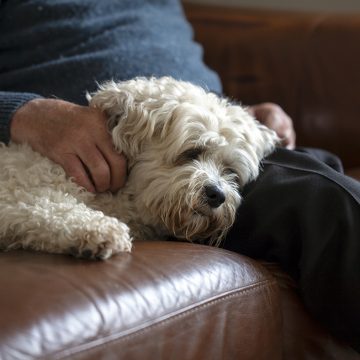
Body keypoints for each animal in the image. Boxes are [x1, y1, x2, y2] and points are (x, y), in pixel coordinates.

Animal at [0, 77, 278, 260]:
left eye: (230, 171)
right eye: (192, 152)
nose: (218, 195)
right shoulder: (19, 190)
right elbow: (51, 207)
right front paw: (100, 231)